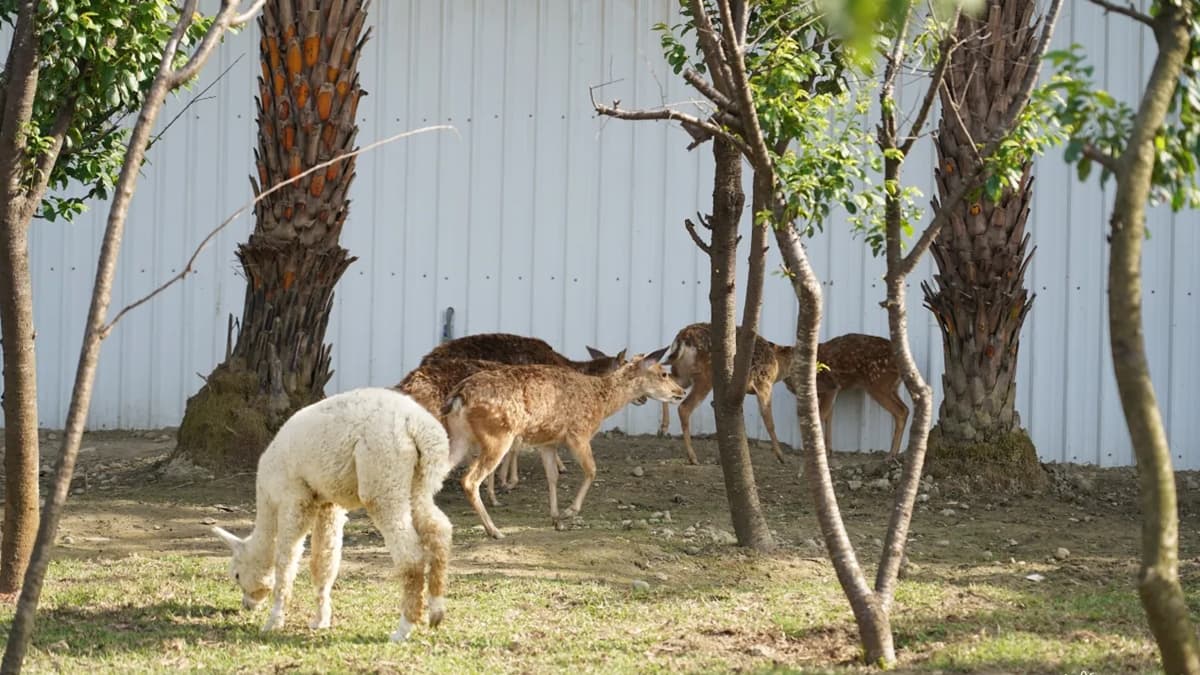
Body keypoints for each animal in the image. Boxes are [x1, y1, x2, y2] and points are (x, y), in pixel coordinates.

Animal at [442, 349, 683, 539]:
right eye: (663, 373)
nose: (680, 392)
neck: (600, 401)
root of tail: (458, 396)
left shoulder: (548, 442)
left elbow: (553, 477)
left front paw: (556, 519)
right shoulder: (579, 433)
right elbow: (591, 470)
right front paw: (569, 513)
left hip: (459, 436)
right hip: (497, 435)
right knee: (469, 480)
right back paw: (494, 530)